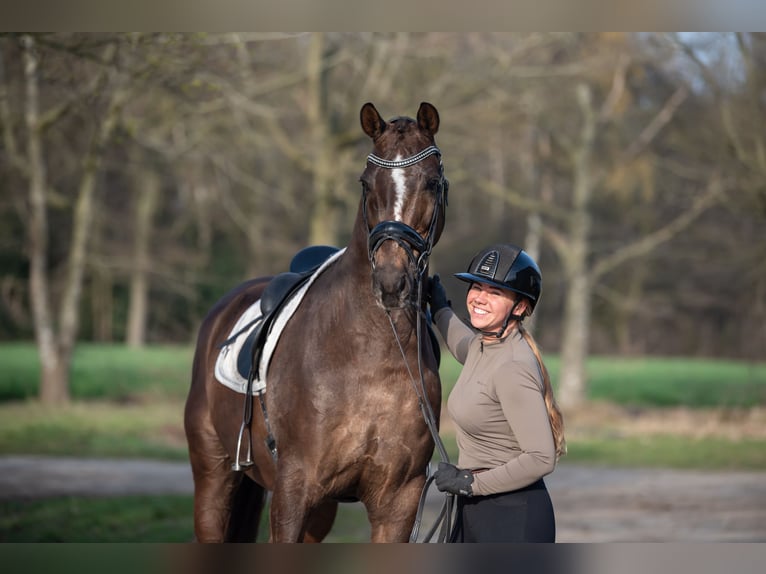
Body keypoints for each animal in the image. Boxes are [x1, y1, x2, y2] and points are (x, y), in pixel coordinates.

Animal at [184, 102, 449, 542]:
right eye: (365, 183)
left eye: (431, 182)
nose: (391, 281)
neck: (369, 353)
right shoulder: (293, 489)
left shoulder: (398, 502)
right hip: (214, 477)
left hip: (320, 510)